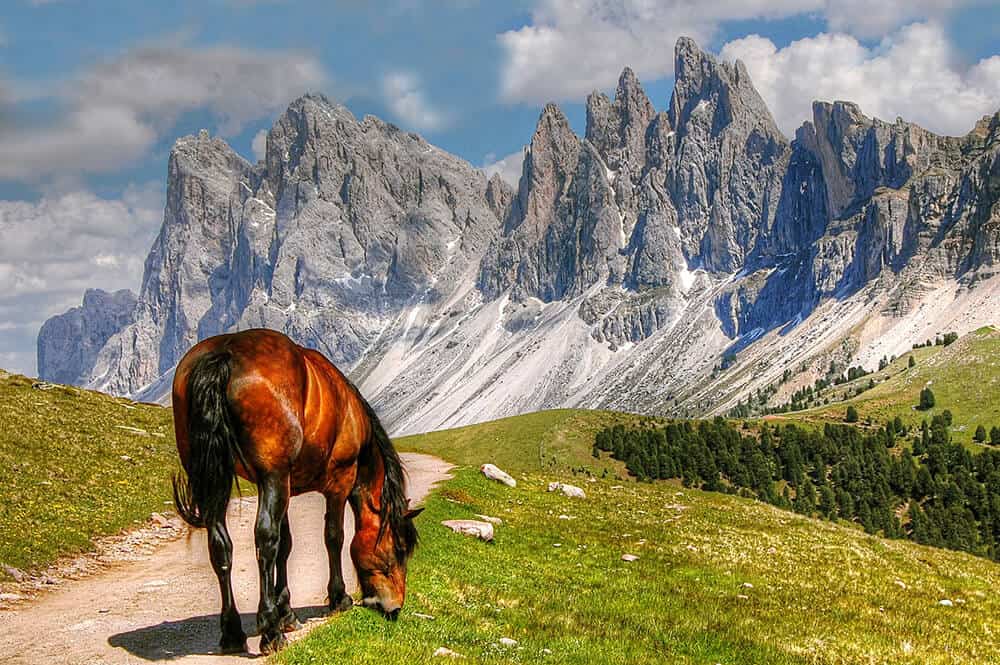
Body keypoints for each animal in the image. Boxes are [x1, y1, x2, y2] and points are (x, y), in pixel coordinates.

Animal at [172, 328, 422, 652]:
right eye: (400, 549)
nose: (395, 608)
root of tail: (224, 353)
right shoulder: (338, 482)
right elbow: (333, 537)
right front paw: (338, 598)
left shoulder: (286, 488)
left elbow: (286, 545)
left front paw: (287, 612)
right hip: (272, 476)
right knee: (265, 540)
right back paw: (269, 631)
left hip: (221, 481)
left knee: (221, 547)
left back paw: (233, 632)